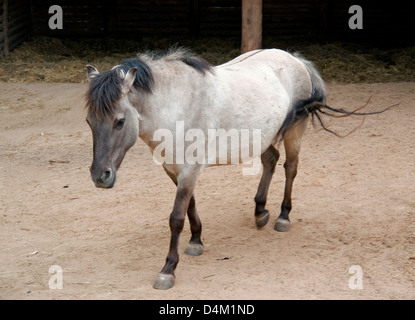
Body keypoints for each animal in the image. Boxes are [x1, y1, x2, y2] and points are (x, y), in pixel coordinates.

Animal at [85, 47, 394, 290]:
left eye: (120, 121)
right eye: (89, 121)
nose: (101, 177)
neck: (177, 104)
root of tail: (294, 59)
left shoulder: (189, 170)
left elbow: (176, 218)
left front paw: (168, 270)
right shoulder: (175, 170)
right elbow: (190, 205)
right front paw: (196, 241)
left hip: (295, 131)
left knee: (290, 168)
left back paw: (283, 216)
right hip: (264, 136)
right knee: (271, 160)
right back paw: (260, 211)